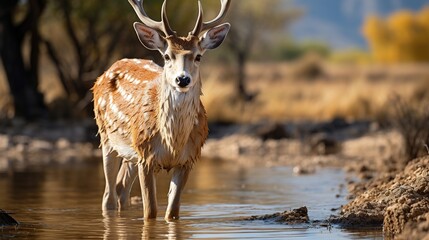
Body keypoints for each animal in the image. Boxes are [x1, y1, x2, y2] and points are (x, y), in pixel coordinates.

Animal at [91, 0, 231, 221]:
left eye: (198, 56)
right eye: (167, 56)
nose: (182, 79)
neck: (173, 143)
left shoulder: (187, 159)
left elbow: (172, 213)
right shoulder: (146, 157)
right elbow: (150, 212)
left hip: (131, 153)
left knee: (121, 188)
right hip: (107, 137)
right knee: (108, 195)